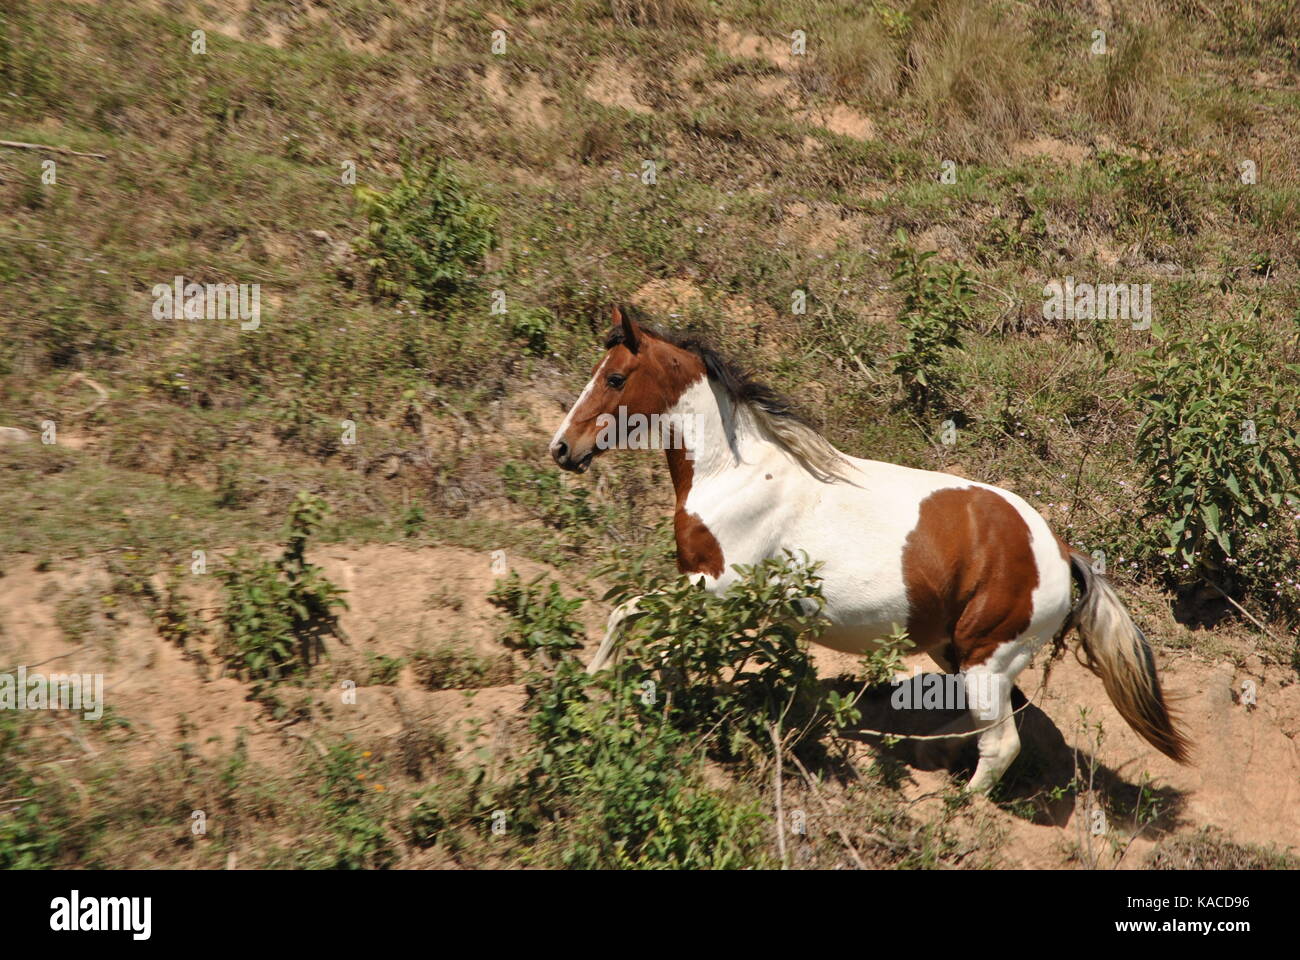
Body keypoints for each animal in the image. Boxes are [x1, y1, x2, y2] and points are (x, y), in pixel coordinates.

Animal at [549, 307, 1191, 793]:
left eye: (614, 378)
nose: (562, 448)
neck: (734, 473)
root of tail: (1060, 551)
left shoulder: (720, 588)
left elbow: (633, 617)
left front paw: (605, 689)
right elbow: (655, 633)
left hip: (987, 658)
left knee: (1001, 742)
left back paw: (957, 808)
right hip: (956, 651)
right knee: (991, 723)